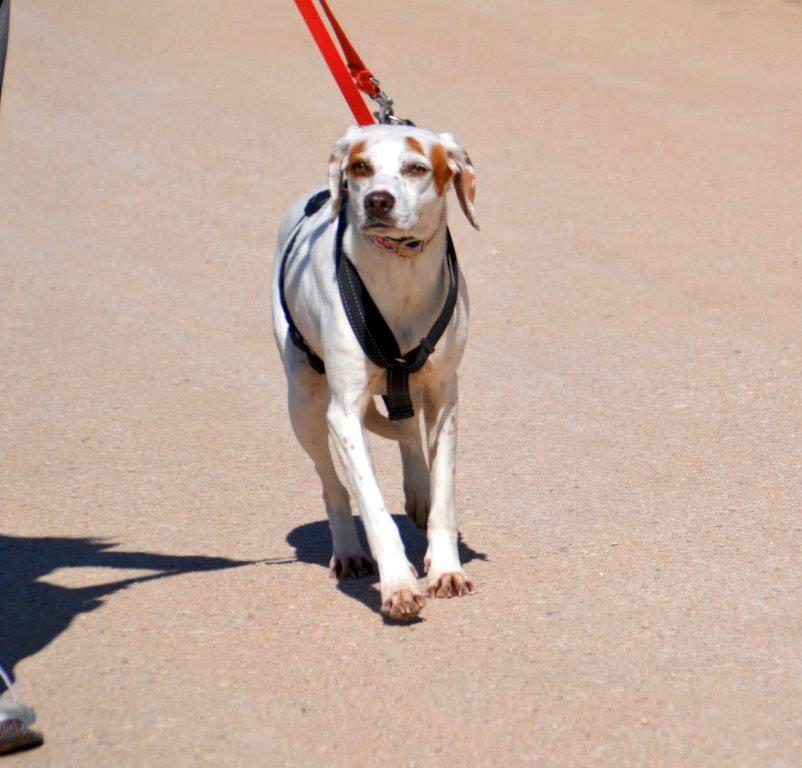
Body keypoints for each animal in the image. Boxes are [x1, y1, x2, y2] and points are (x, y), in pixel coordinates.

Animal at [272, 124, 478, 616]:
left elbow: (444, 493)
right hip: (304, 406)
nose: (377, 201)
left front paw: (446, 568)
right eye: (361, 167)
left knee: (408, 436)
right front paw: (398, 583)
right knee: (333, 486)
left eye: (417, 168)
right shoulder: (344, 413)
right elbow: (372, 505)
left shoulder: (444, 397)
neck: (399, 273)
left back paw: (418, 493)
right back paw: (348, 550)